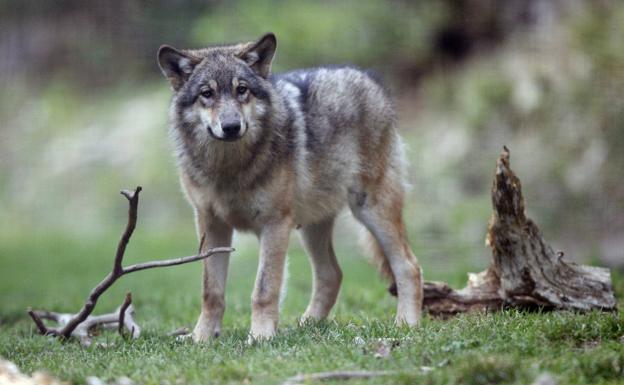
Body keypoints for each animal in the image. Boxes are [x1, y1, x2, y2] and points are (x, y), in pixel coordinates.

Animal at [157, 32, 424, 340]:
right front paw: (202, 338)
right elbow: (211, 291)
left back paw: (406, 324)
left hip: (370, 210)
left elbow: (264, 289)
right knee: (332, 274)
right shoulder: (211, 225)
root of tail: (369, 77)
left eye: (242, 90)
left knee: (408, 266)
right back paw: (306, 325)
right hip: (312, 227)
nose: (232, 126)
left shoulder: (275, 224)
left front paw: (260, 337)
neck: (230, 168)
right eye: (206, 94)